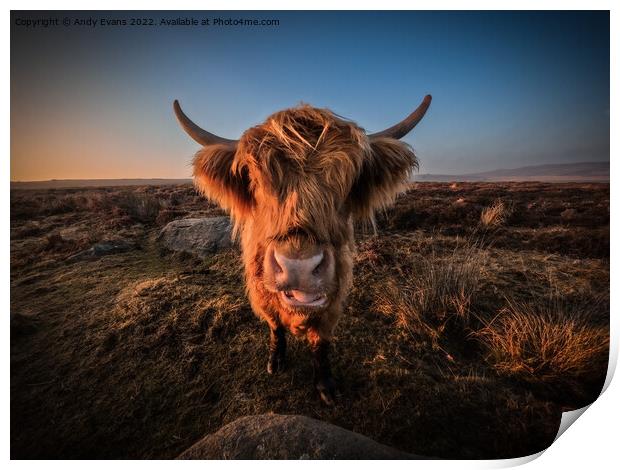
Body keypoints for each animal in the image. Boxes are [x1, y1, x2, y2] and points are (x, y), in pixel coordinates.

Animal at [172, 95, 428, 404]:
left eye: (349, 181)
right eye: (254, 179)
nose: (299, 267)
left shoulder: (334, 300)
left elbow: (321, 342)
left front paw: (325, 385)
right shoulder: (260, 293)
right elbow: (275, 326)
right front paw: (276, 360)